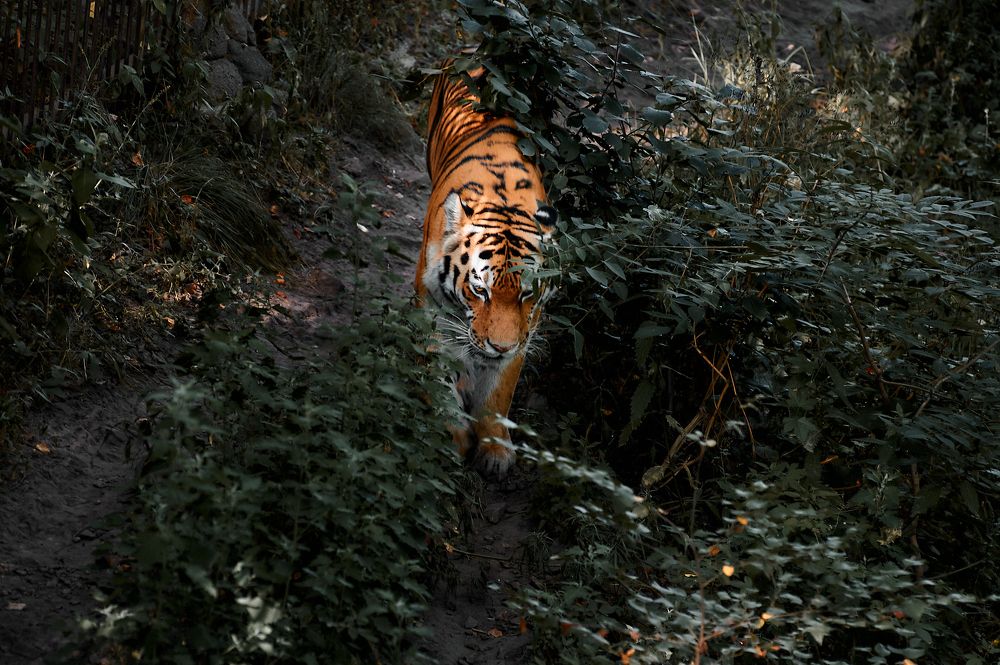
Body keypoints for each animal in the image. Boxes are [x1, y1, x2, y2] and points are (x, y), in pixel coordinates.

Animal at [416, 63, 558, 478]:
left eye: (527, 293)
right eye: (480, 291)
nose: (500, 346)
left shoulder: (526, 331)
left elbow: (499, 392)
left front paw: (495, 450)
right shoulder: (431, 311)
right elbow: (439, 373)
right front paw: (452, 436)